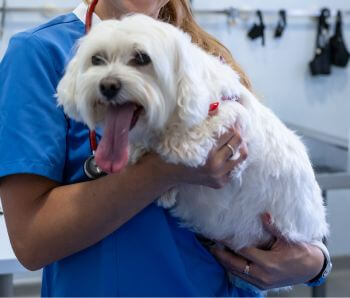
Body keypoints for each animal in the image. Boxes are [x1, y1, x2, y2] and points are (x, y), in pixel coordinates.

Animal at [56, 15, 328, 253]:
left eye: (142, 58)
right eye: (97, 59)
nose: (107, 85)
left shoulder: (232, 114)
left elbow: (203, 128)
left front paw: (179, 146)